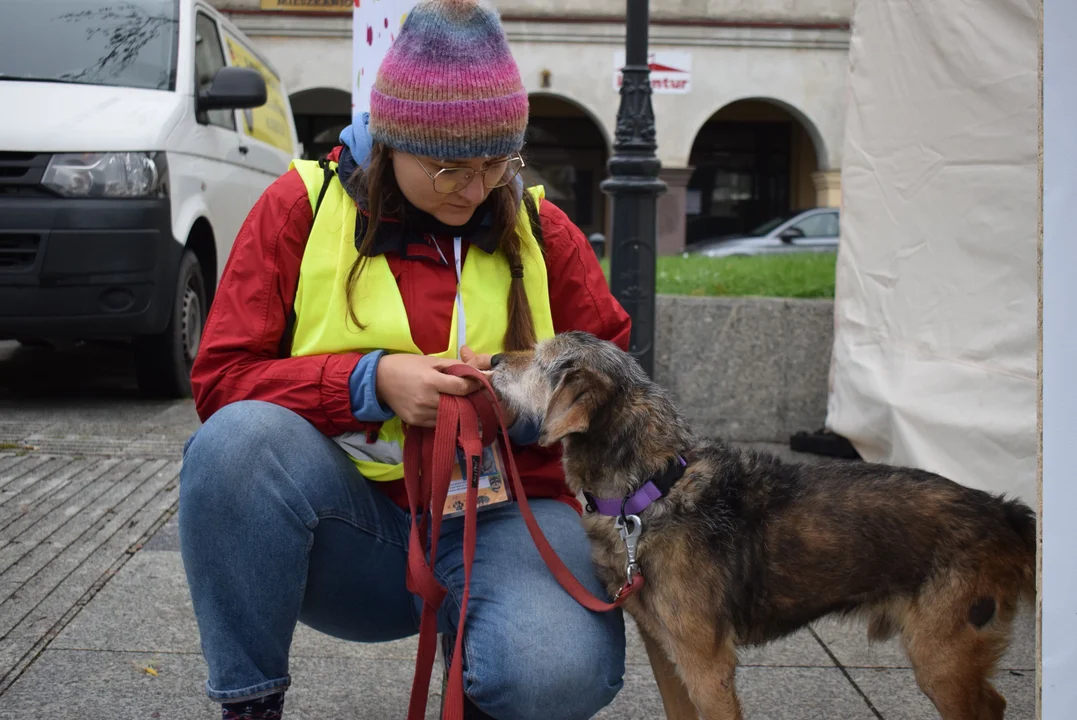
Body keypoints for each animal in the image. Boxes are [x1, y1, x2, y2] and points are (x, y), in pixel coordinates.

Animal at [488, 331, 1033, 718]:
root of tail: (1004, 511)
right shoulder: (665, 650)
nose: (491, 360)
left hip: (943, 656)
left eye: (541, 359)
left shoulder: (707, 665)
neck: (650, 492)